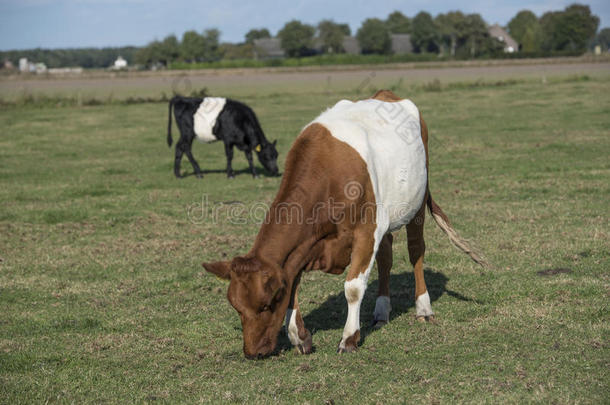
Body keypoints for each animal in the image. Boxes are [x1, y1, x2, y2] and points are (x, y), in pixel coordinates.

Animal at [202, 90, 486, 358]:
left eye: (268, 303)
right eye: (237, 307)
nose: (253, 352)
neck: (327, 174)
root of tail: (387, 94)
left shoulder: (366, 231)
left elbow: (353, 288)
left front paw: (349, 339)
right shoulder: (305, 246)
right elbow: (294, 284)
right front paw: (299, 337)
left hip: (417, 203)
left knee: (416, 251)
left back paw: (423, 308)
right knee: (385, 258)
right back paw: (381, 311)